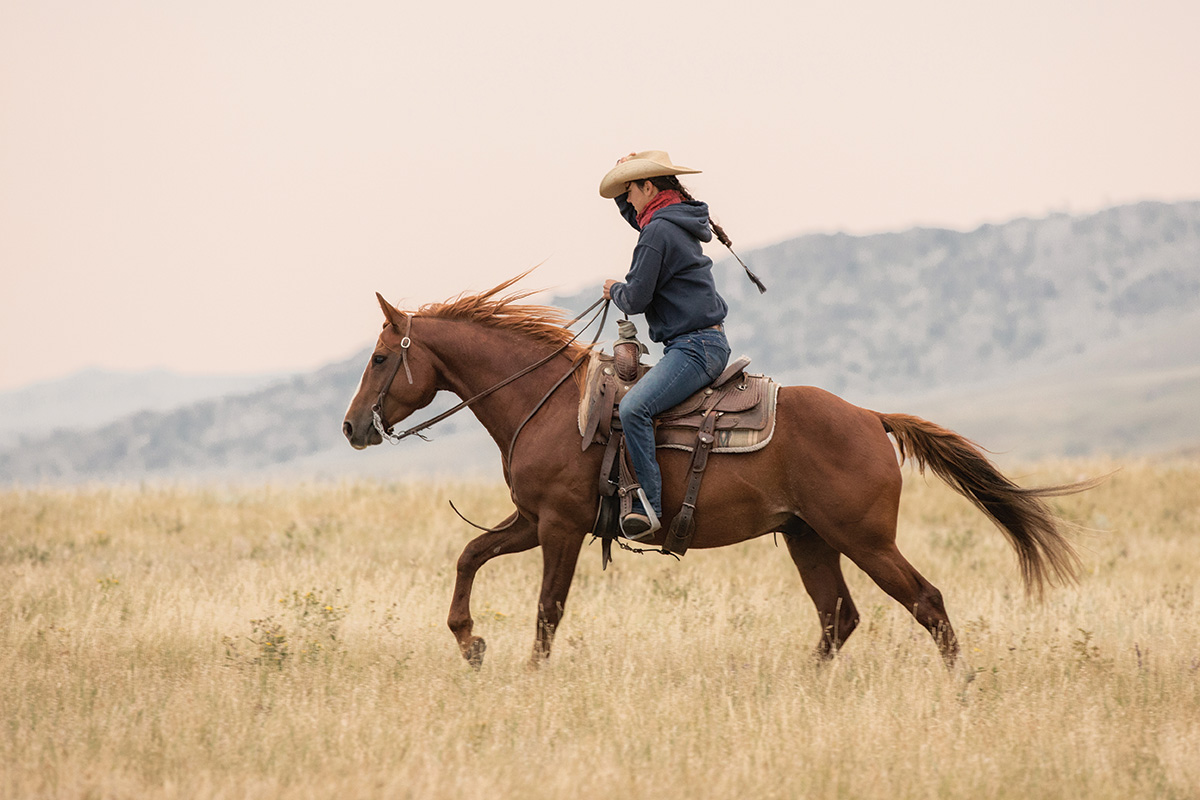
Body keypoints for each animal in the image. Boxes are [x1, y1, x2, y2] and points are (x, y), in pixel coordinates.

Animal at [340, 275, 1099, 671]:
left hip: (864, 538)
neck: (546, 403)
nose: (350, 428)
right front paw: (469, 641)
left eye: (379, 358)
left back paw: (960, 687)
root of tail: (870, 417)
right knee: (839, 615)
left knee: (926, 601)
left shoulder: (559, 527)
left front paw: (527, 673)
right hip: (809, 538)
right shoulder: (531, 521)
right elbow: (469, 555)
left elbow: (547, 610)